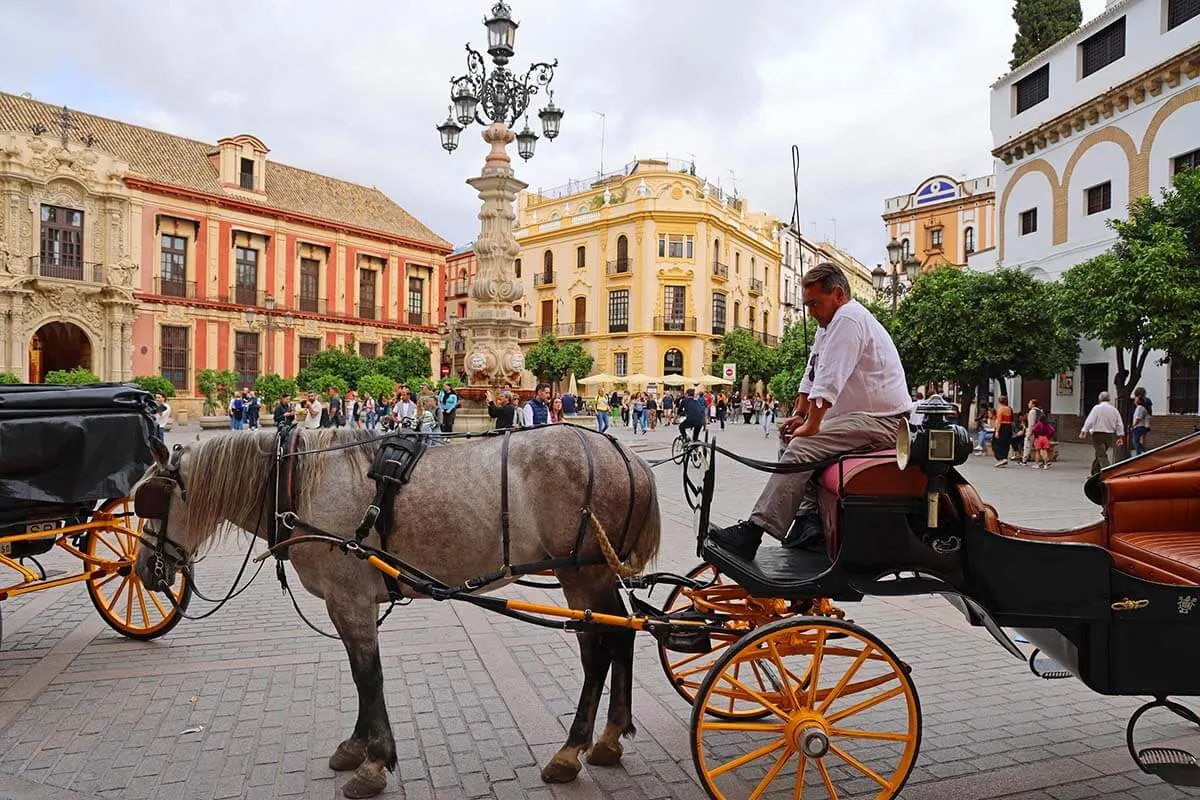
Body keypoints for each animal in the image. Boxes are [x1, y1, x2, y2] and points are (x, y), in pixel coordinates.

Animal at [131, 424, 667, 796]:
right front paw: (356, 746)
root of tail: (627, 457)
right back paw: (610, 738)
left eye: (147, 503)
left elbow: (368, 675)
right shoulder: (351, 602)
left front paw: (374, 763)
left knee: (598, 649)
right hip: (597, 578)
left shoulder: (349, 599)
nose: (142, 571)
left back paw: (570, 750)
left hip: (583, 574)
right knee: (623, 634)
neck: (296, 482)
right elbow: (360, 675)